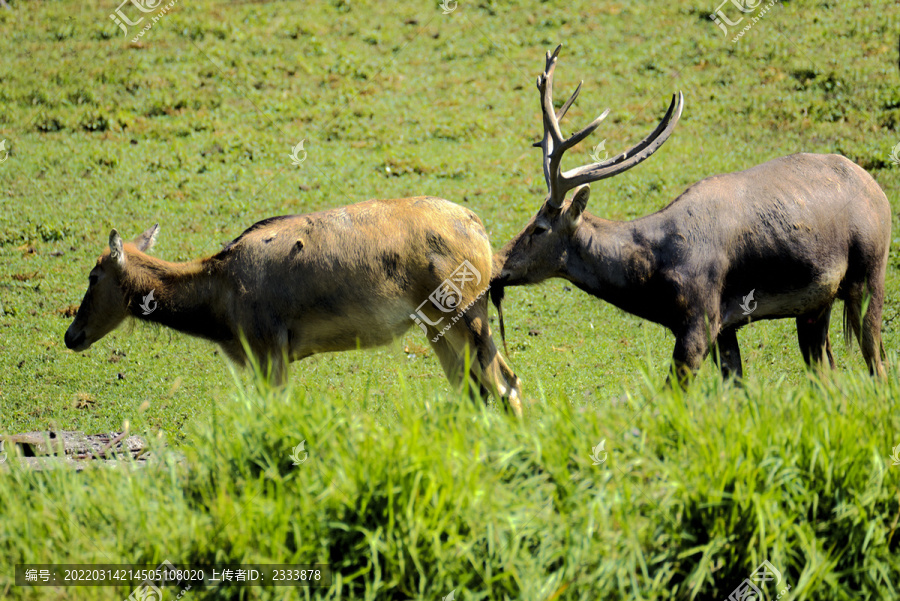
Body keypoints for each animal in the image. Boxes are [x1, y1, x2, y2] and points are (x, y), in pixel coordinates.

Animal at [492, 48, 892, 384]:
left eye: (539, 228)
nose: (497, 267)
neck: (652, 281)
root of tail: (879, 192)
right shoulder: (725, 328)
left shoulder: (700, 320)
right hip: (816, 305)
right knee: (827, 372)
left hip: (870, 273)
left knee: (878, 362)